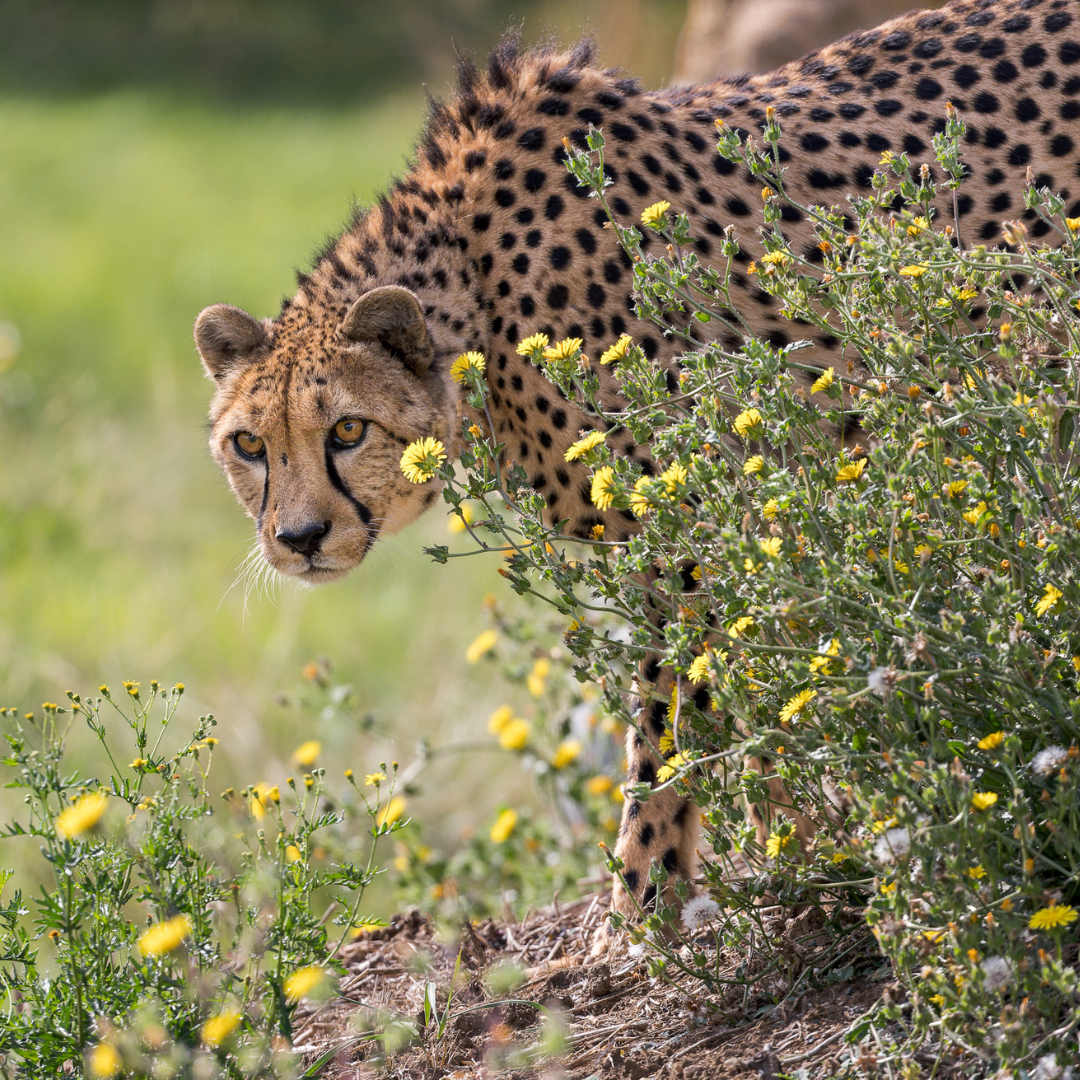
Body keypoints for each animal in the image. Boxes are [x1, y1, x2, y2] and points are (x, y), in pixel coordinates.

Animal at [198, 0, 1080, 946]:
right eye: (248, 445)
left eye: (348, 429)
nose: (298, 538)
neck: (479, 303)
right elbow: (756, 694)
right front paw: (796, 846)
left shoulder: (688, 534)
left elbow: (669, 720)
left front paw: (642, 896)